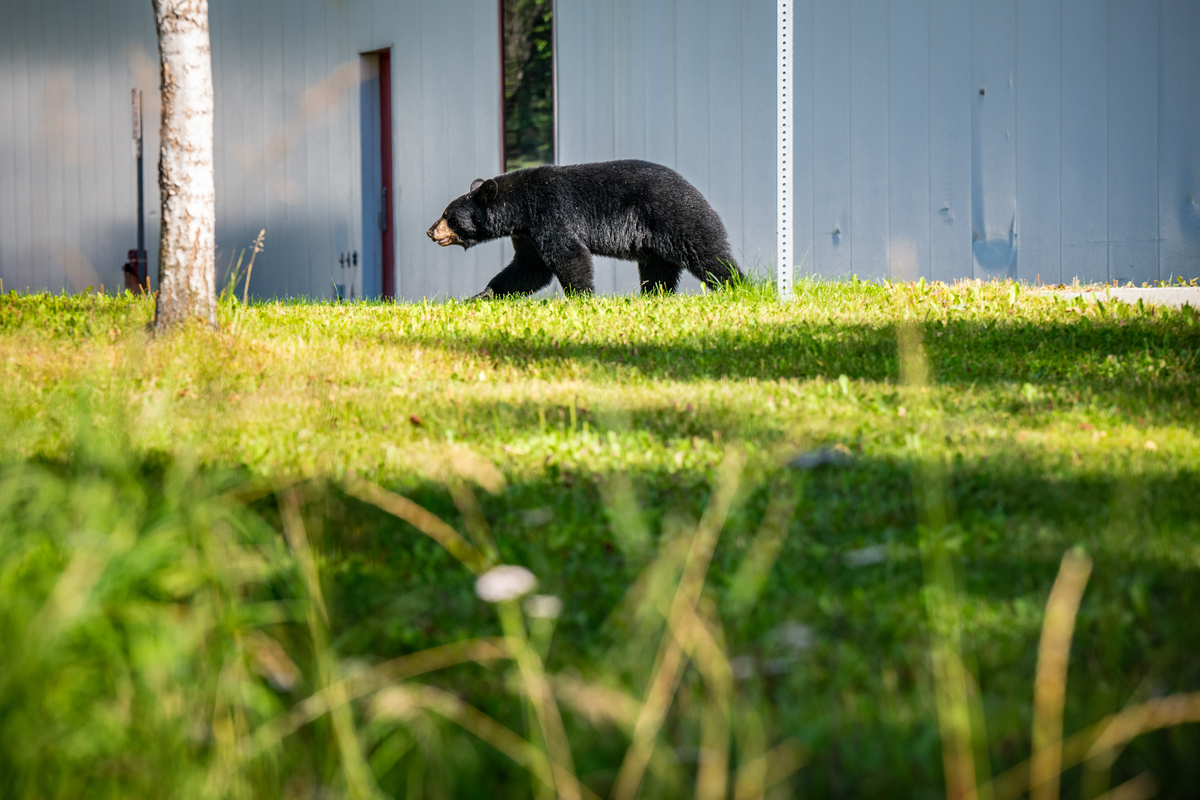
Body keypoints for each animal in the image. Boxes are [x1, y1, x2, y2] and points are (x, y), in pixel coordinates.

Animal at [426, 159, 741, 299]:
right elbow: (529, 268)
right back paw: (653, 295)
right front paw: (482, 295)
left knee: (707, 251)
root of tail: (693, 188)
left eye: (447, 215)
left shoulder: (550, 213)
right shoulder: (526, 233)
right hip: (654, 240)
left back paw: (736, 285)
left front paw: (582, 298)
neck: (521, 207)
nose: (430, 231)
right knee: (658, 269)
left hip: (675, 215)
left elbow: (569, 255)